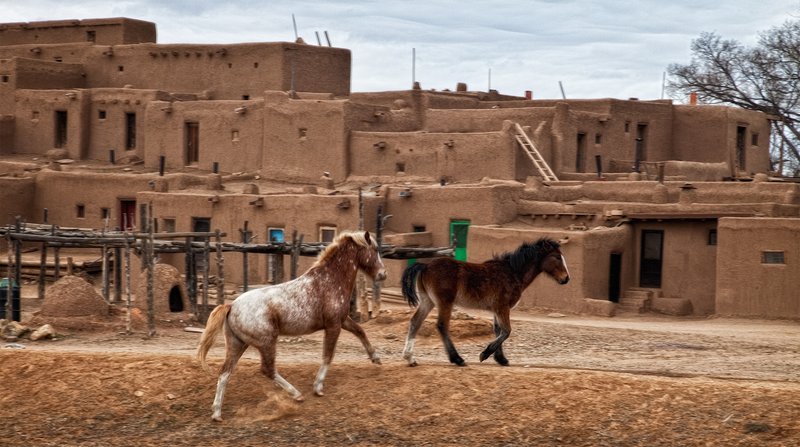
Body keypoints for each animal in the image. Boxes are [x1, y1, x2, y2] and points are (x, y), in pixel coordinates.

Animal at [197, 230, 387, 421]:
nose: (383, 274)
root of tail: (231, 306)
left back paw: (217, 413)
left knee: (225, 372)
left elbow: (360, 331)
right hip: (266, 342)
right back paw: (297, 394)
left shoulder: (343, 320)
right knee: (267, 369)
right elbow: (328, 356)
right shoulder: (333, 325)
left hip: (238, 344)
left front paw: (376, 358)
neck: (330, 281)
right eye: (375, 249)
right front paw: (318, 387)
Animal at [400, 237, 569, 367]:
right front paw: (485, 354)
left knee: (415, 322)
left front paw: (501, 359)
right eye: (557, 257)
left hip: (427, 301)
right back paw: (457, 359)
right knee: (442, 325)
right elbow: (506, 331)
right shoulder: (502, 307)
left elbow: (498, 330)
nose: (566, 278)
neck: (512, 272)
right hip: (444, 302)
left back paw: (410, 358)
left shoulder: (497, 309)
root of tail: (425, 265)